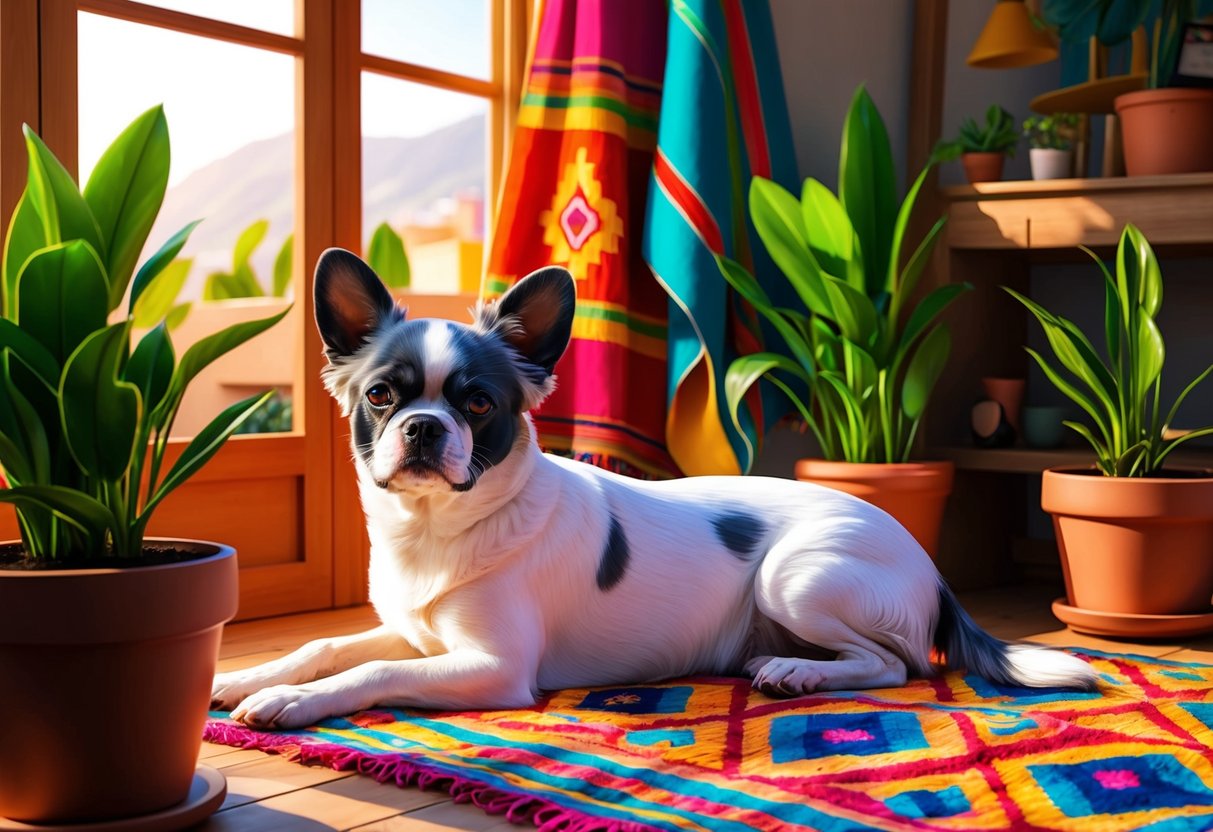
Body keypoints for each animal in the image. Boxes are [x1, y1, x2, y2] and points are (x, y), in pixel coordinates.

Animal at [211, 249, 1101, 727]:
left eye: (478, 405)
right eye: (381, 397)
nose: (425, 428)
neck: (436, 530)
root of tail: (928, 564)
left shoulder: (492, 669)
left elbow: (367, 676)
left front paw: (290, 703)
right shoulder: (419, 634)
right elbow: (326, 646)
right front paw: (240, 678)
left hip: (796, 579)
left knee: (898, 663)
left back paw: (801, 674)